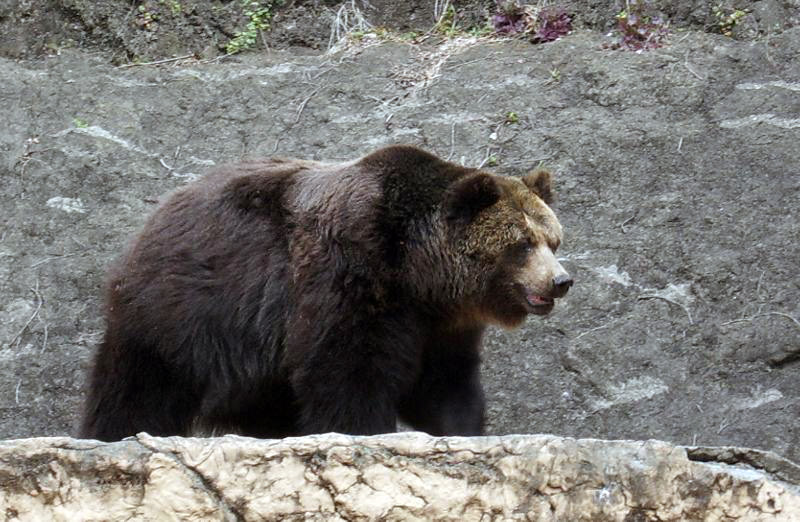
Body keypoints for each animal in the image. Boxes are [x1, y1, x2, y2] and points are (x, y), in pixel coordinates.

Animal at [78, 143, 572, 438]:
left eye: (553, 240)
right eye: (522, 244)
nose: (561, 281)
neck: (418, 272)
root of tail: (156, 213)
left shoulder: (439, 326)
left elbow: (445, 385)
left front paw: (463, 428)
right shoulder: (350, 275)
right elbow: (347, 372)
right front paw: (362, 431)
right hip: (187, 309)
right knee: (142, 384)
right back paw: (115, 432)